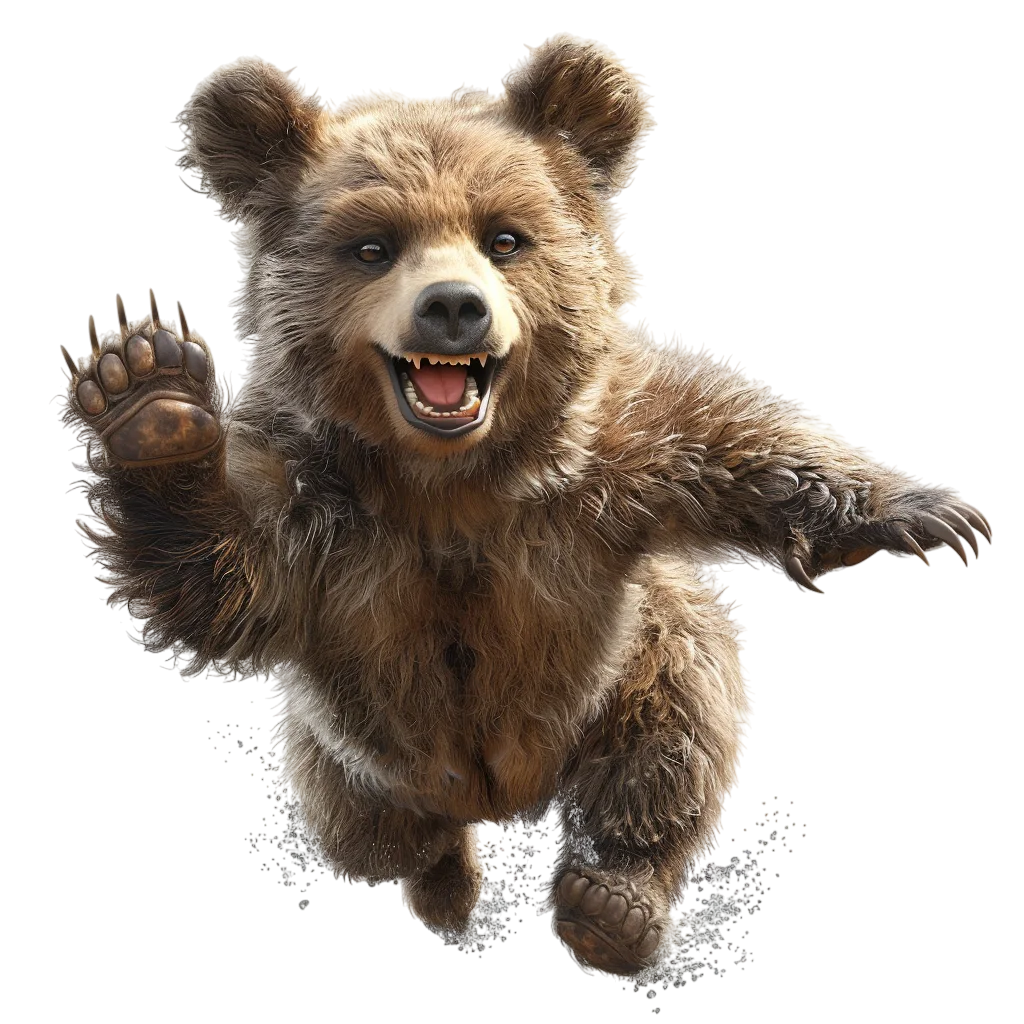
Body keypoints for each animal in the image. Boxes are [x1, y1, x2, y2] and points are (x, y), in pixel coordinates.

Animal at [58, 36, 994, 975]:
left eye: (505, 237)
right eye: (372, 245)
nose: (453, 306)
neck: (451, 483)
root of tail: (505, 796)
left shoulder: (605, 472)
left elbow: (744, 448)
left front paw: (927, 510)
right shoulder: (324, 511)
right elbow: (229, 582)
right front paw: (149, 394)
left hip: (618, 678)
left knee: (675, 729)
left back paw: (612, 903)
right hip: (351, 759)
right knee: (375, 833)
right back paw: (449, 880)